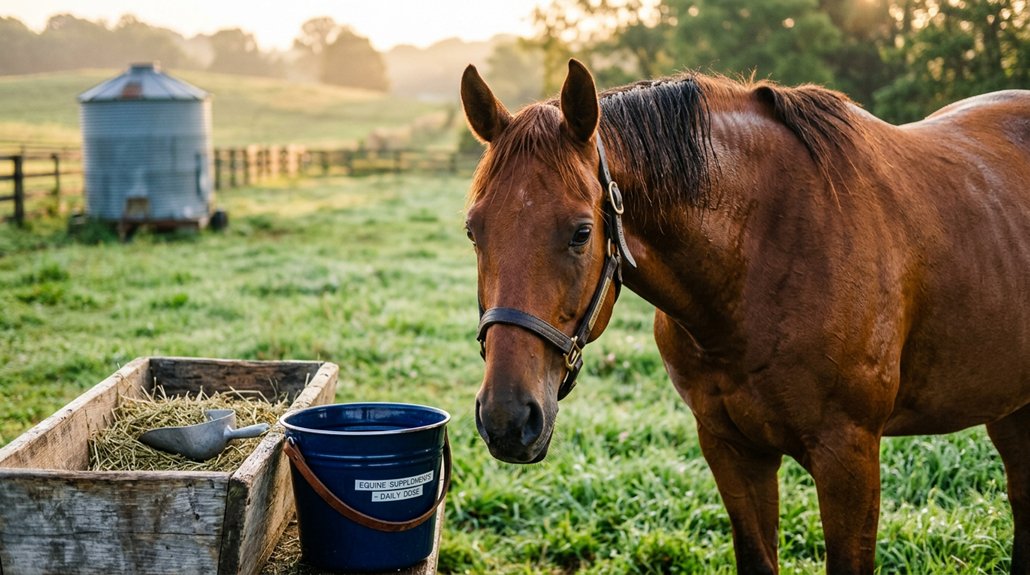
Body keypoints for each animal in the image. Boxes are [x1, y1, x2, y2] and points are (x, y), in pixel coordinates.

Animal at [460, 59, 1030, 574]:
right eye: (473, 230)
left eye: (581, 232)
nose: (508, 418)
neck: (766, 254)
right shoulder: (731, 450)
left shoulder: (849, 456)